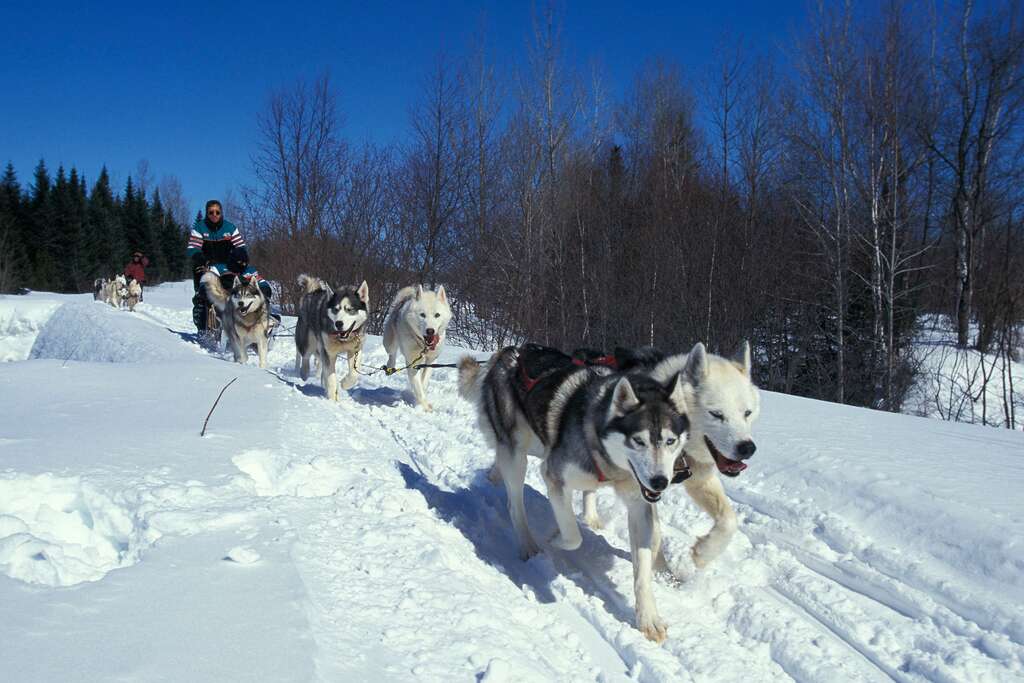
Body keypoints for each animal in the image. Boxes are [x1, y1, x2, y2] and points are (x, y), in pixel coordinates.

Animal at [460, 344, 700, 643]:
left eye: (670, 441)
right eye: (638, 440)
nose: (660, 482)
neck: (611, 464)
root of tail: (510, 351)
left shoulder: (639, 504)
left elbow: (643, 571)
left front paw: (648, 619)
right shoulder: (553, 475)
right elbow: (573, 536)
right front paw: (556, 538)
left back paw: (494, 475)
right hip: (518, 455)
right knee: (515, 502)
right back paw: (528, 544)